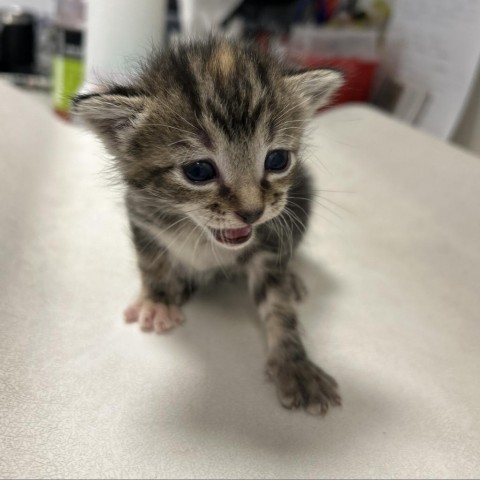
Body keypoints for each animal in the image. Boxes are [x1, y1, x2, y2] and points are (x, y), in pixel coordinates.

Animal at [74, 37, 344, 414]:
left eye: (277, 160)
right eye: (198, 171)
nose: (252, 213)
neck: (201, 235)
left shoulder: (269, 241)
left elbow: (278, 304)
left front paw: (294, 363)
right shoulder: (142, 216)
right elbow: (152, 263)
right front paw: (158, 298)